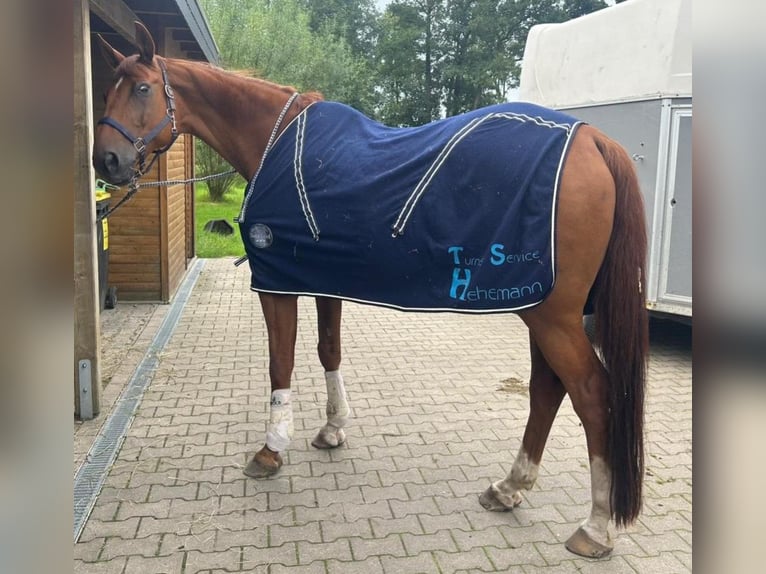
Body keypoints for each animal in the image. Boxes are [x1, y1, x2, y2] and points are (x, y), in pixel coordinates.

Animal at [93, 24, 652, 560]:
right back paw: (509, 487)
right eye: (108, 90)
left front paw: (272, 449)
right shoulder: (321, 279)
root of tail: (592, 140)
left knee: (591, 394)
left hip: (550, 315)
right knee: (546, 390)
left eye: (141, 88)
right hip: (540, 307)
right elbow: (329, 351)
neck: (274, 142)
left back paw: (595, 527)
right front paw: (332, 429)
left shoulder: (275, 284)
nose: (107, 162)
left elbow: (280, 362)